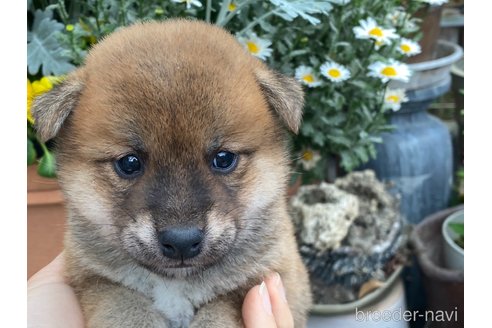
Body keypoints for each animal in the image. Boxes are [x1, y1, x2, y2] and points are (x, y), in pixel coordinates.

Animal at [32, 19, 312, 326]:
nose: (182, 241)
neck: (176, 284)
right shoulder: (94, 279)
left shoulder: (266, 278)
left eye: (223, 158)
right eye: (129, 163)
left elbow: (219, 313)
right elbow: (125, 306)